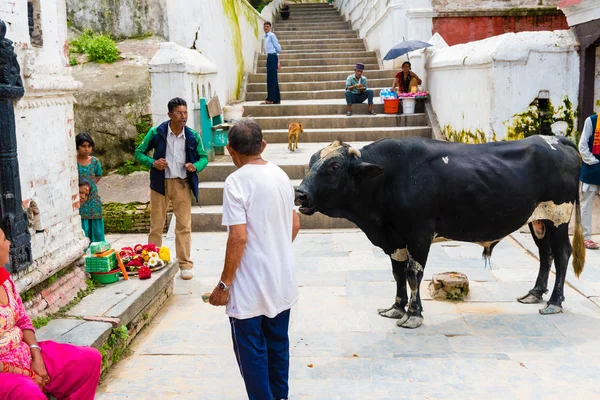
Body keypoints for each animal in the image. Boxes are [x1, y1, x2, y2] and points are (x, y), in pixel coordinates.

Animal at [296, 136, 584, 330]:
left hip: (559, 217)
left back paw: (554, 302)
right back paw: (534, 294)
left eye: (334, 166)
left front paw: (413, 315)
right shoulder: (395, 240)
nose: (300, 193)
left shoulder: (419, 235)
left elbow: (413, 274)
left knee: (562, 254)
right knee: (545, 254)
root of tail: (553, 139)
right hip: (539, 220)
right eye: (311, 162)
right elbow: (398, 274)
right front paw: (396, 308)